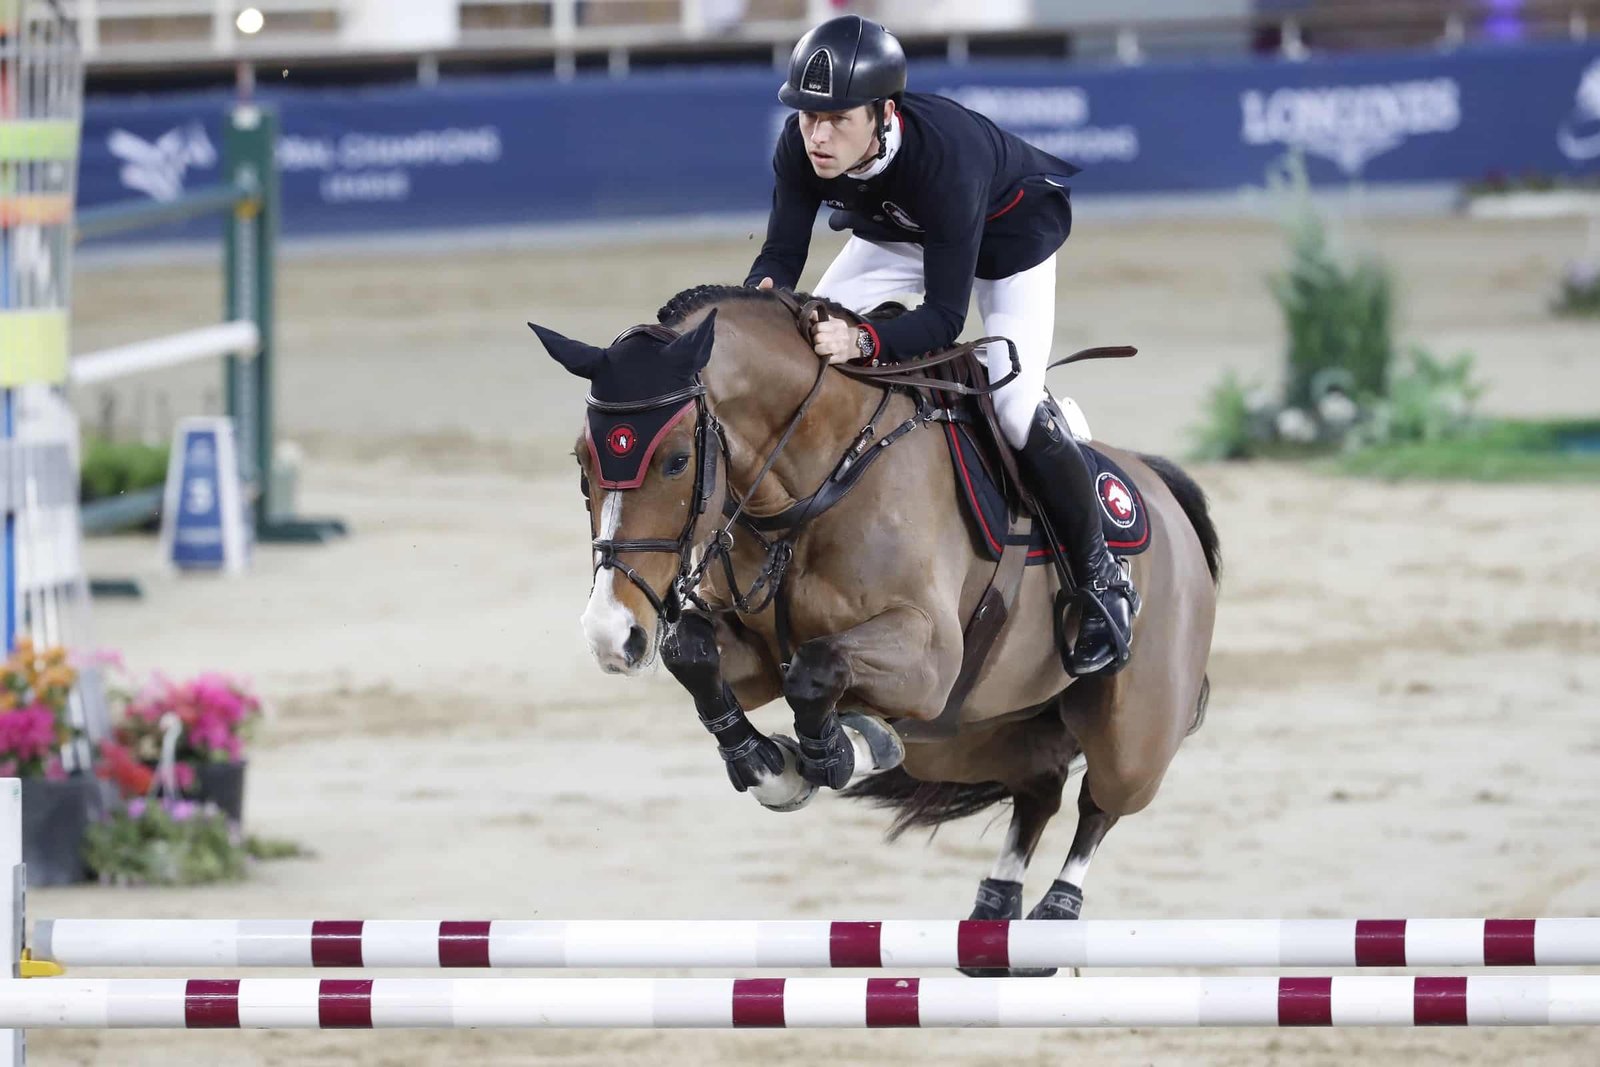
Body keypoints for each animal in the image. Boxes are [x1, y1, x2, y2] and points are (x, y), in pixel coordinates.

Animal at [531, 285, 1220, 973]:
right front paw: (774, 763)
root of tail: (1159, 486)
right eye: (581, 460)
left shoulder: (929, 658)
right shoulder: (758, 656)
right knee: (1040, 785)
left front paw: (837, 749)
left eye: (676, 461)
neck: (815, 484)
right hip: (965, 733)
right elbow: (693, 652)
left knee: (1101, 801)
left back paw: (1053, 917)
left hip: (1127, 728)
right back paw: (995, 911)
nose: (610, 634)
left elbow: (818, 669)